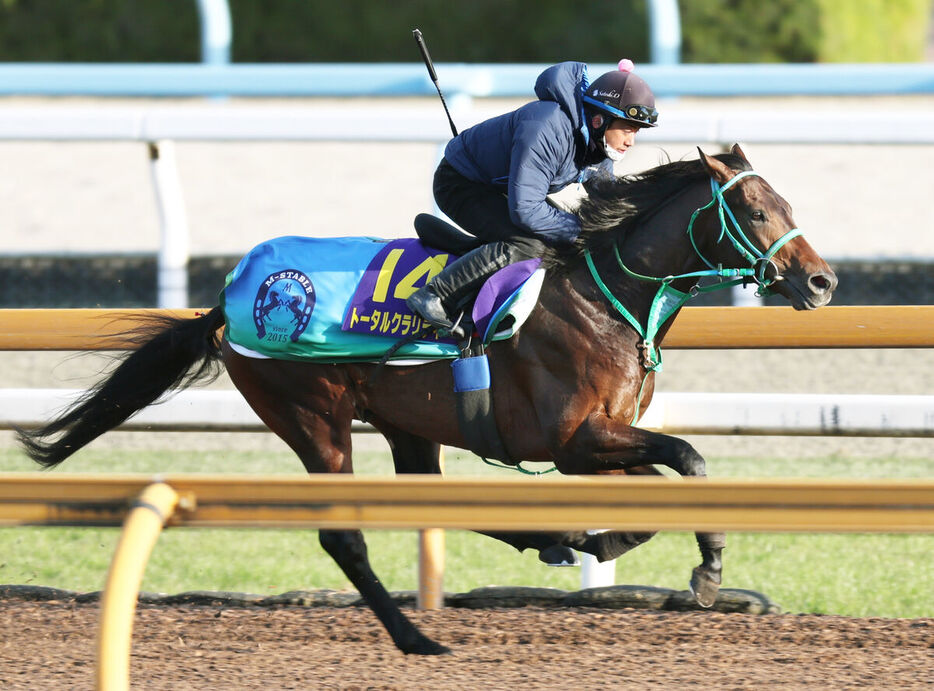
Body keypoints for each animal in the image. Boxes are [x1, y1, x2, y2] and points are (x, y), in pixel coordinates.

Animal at [18, 145, 840, 656]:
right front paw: (707, 571)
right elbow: (692, 459)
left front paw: (602, 543)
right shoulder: (572, 438)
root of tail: (231, 295)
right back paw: (418, 637)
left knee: (430, 500)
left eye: (785, 201)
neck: (604, 292)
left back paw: (545, 544)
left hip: (405, 425)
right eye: (758, 213)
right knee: (344, 536)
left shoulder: (593, 446)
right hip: (314, 417)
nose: (822, 281)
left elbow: (647, 498)